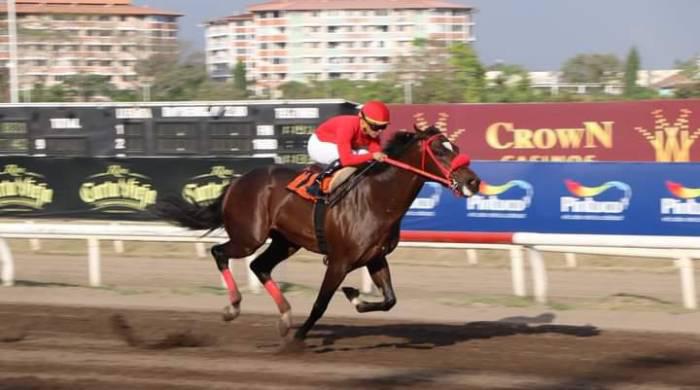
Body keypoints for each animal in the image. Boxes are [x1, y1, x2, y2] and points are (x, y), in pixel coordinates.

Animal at [155, 124, 478, 348]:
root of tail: (237, 181)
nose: (473, 181)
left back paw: (285, 317)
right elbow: (321, 304)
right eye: (440, 151)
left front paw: (354, 297)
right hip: (249, 237)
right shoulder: (339, 261)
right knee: (220, 253)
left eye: (455, 145)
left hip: (285, 242)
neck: (376, 198)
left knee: (259, 266)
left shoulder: (375, 257)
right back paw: (233, 307)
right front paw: (298, 339)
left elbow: (390, 300)